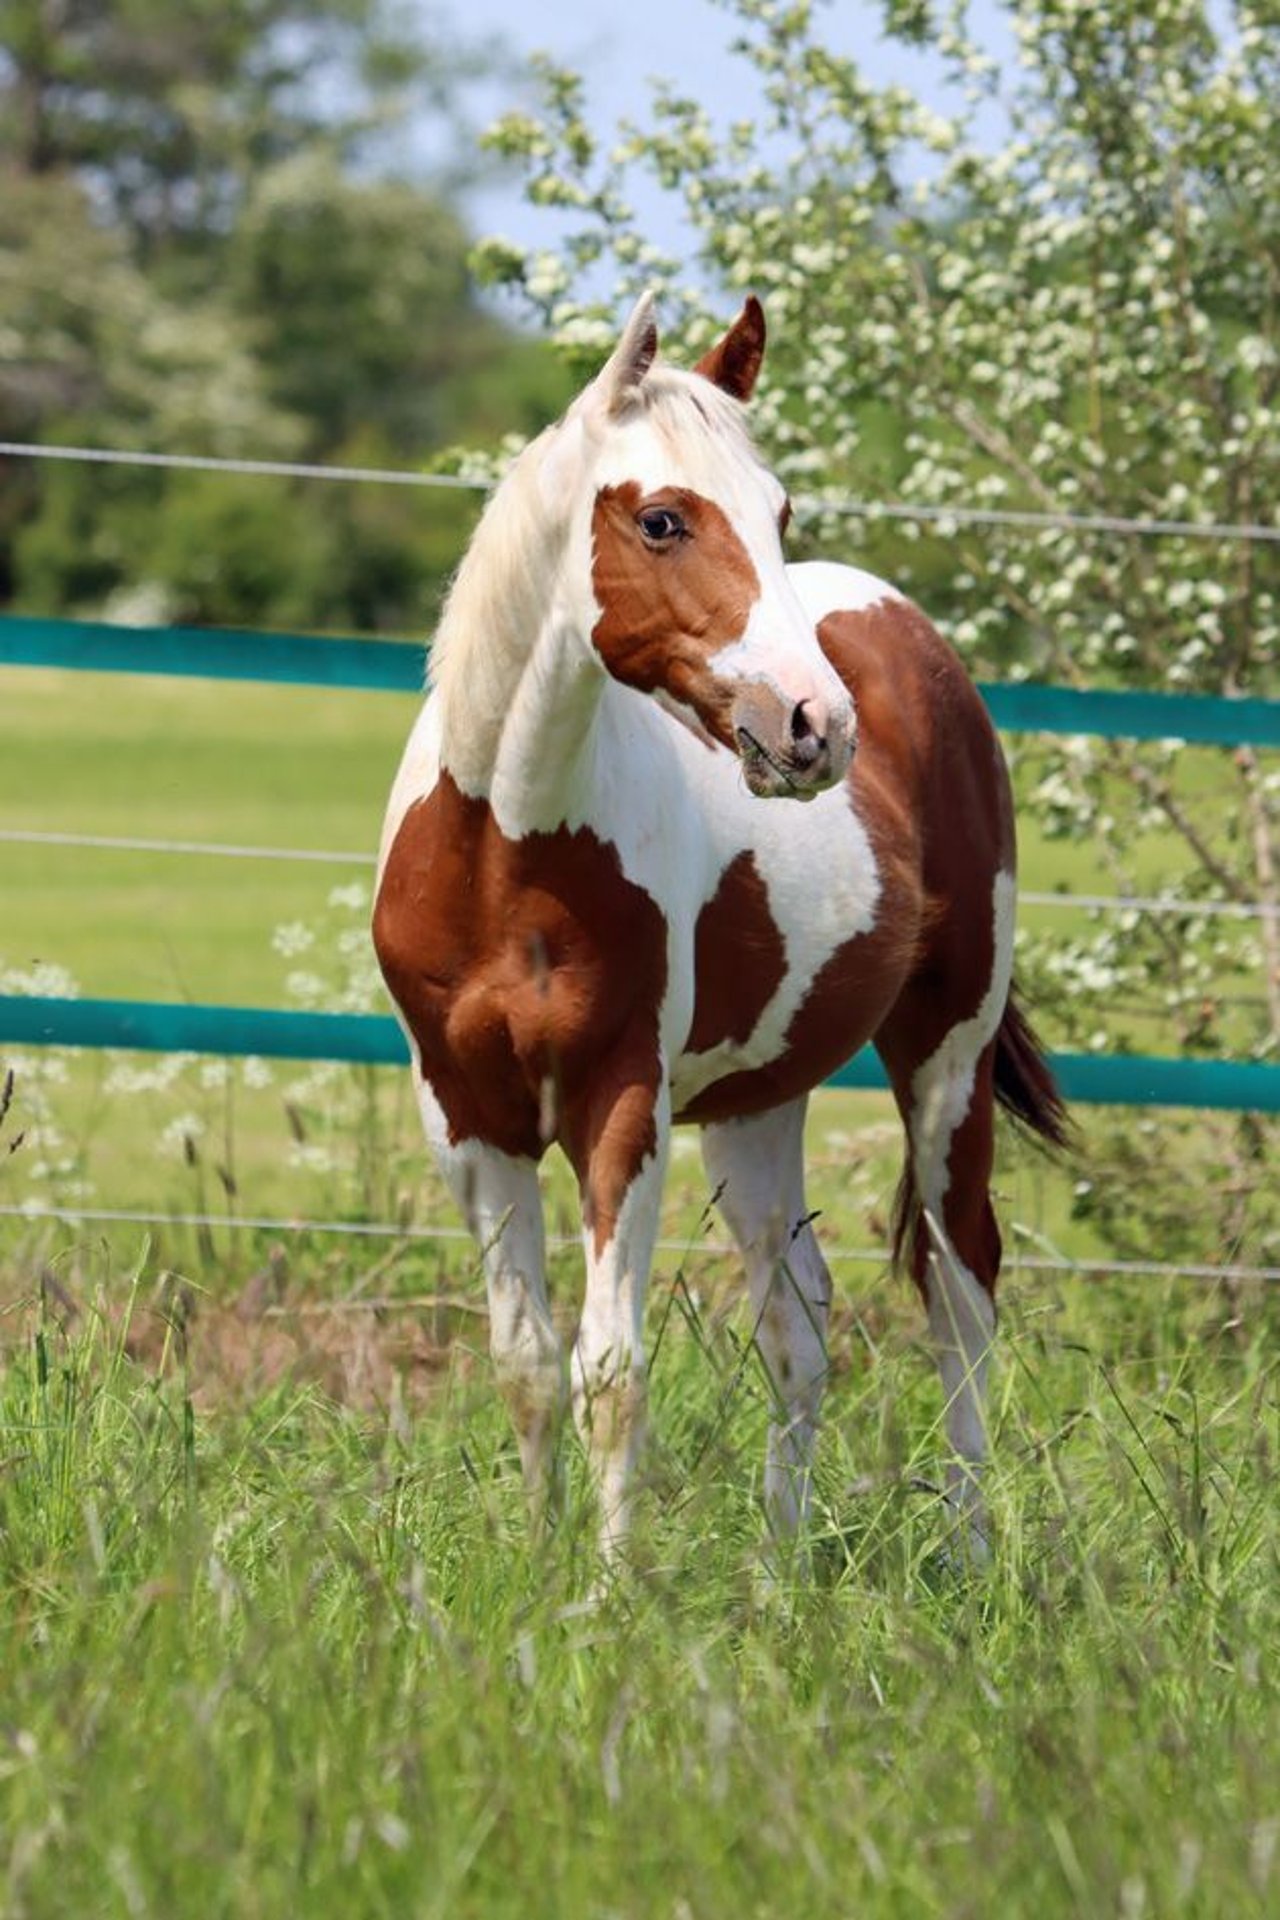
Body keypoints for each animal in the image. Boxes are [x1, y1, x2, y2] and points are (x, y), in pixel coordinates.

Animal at [373, 292, 1067, 1565]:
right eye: (661, 519)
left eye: (776, 511)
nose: (813, 725)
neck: (506, 854)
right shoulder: (467, 1115)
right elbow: (525, 1366)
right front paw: (540, 1567)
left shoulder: (619, 1106)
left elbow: (609, 1373)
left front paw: (604, 1587)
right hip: (758, 1104)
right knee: (800, 1323)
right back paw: (777, 1569)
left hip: (944, 1062)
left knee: (959, 1293)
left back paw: (970, 1551)